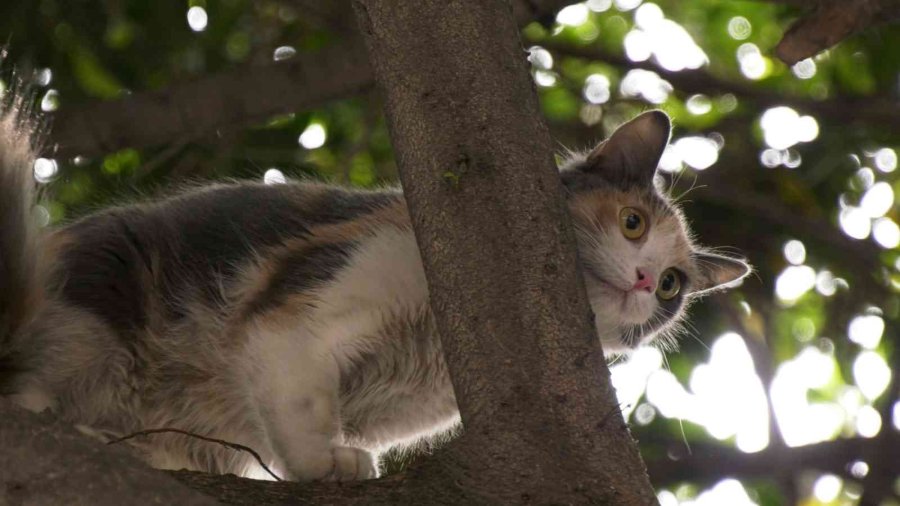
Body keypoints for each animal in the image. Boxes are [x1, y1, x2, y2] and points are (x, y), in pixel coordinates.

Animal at [0, 96, 744, 482]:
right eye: (632, 222)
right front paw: (318, 462)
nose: (647, 280)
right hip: (94, 305)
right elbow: (300, 400)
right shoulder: (303, 308)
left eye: (675, 285)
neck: (432, 345)